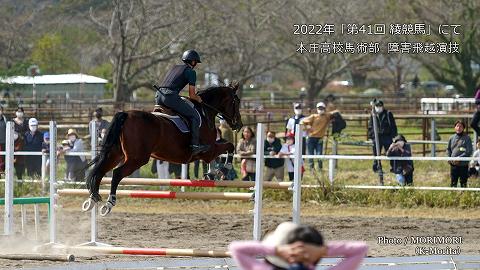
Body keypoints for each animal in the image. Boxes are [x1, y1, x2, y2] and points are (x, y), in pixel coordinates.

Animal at [82, 83, 244, 215]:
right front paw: (224, 169)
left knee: (99, 171)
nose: (239, 124)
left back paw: (92, 199)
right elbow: (229, 146)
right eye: (236, 101)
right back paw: (109, 203)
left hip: (116, 154)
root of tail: (126, 114)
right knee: (116, 173)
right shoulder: (207, 151)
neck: (205, 111)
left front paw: (211, 174)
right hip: (137, 159)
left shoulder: (209, 150)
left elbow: (223, 146)